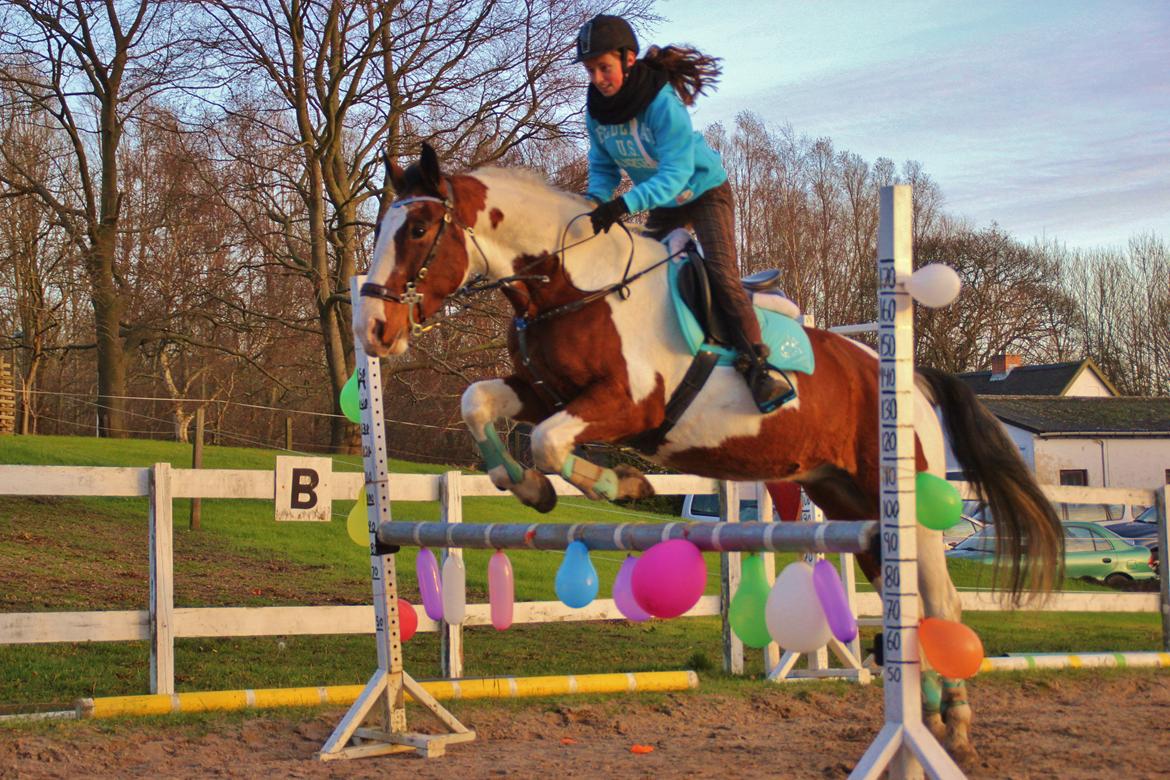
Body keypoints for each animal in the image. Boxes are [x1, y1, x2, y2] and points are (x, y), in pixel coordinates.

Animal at [351, 143, 1067, 767]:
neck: (572, 286)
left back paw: (957, 729)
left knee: (941, 601)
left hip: (903, 503)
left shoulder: (627, 404)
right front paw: (527, 486)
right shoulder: (542, 390)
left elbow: (554, 440)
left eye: (418, 227)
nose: (375, 332)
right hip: (850, 505)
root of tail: (907, 376)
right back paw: (936, 717)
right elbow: (477, 401)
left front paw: (624, 485)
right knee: (908, 602)